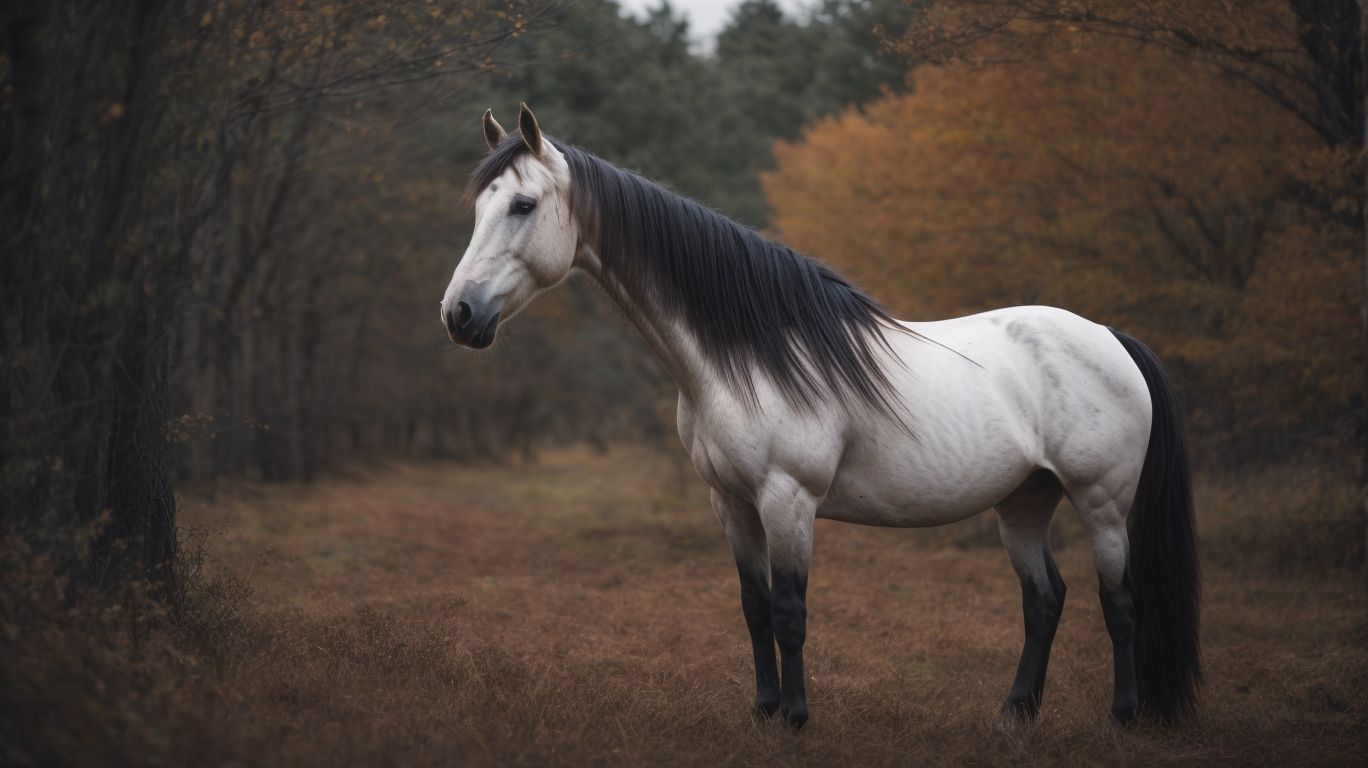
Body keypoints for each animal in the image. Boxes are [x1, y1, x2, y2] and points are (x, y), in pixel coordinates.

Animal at [439, 104, 1200, 729]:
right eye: (479, 209)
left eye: (524, 205)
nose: (459, 314)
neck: (742, 356)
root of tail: (1111, 338)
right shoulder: (730, 502)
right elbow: (753, 610)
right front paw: (763, 710)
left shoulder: (788, 499)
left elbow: (789, 610)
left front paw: (798, 719)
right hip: (1024, 502)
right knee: (1044, 601)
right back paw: (1016, 713)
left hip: (1101, 503)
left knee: (1119, 603)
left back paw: (1124, 716)